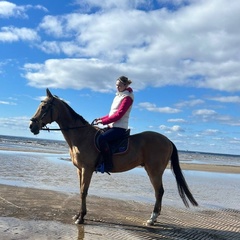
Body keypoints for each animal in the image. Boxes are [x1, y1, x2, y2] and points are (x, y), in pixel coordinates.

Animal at [29, 88, 198, 225]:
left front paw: (81, 217)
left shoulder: (87, 169)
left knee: (159, 192)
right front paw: (78, 214)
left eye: (44, 107)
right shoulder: (79, 169)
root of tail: (167, 140)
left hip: (154, 171)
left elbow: (84, 191)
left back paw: (152, 218)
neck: (81, 136)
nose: (32, 126)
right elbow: (80, 190)